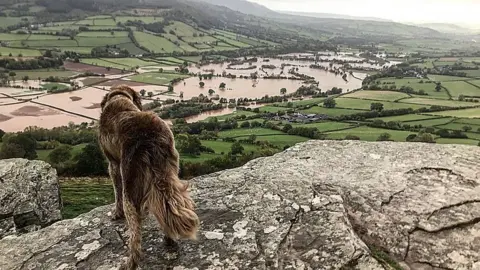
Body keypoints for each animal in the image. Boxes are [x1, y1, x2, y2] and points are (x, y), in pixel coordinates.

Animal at [98, 85, 200, 268]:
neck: (118, 97)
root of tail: (150, 138)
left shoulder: (113, 164)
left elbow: (116, 192)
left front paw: (116, 213)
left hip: (130, 183)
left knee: (135, 231)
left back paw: (131, 262)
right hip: (169, 171)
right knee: (167, 206)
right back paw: (169, 240)